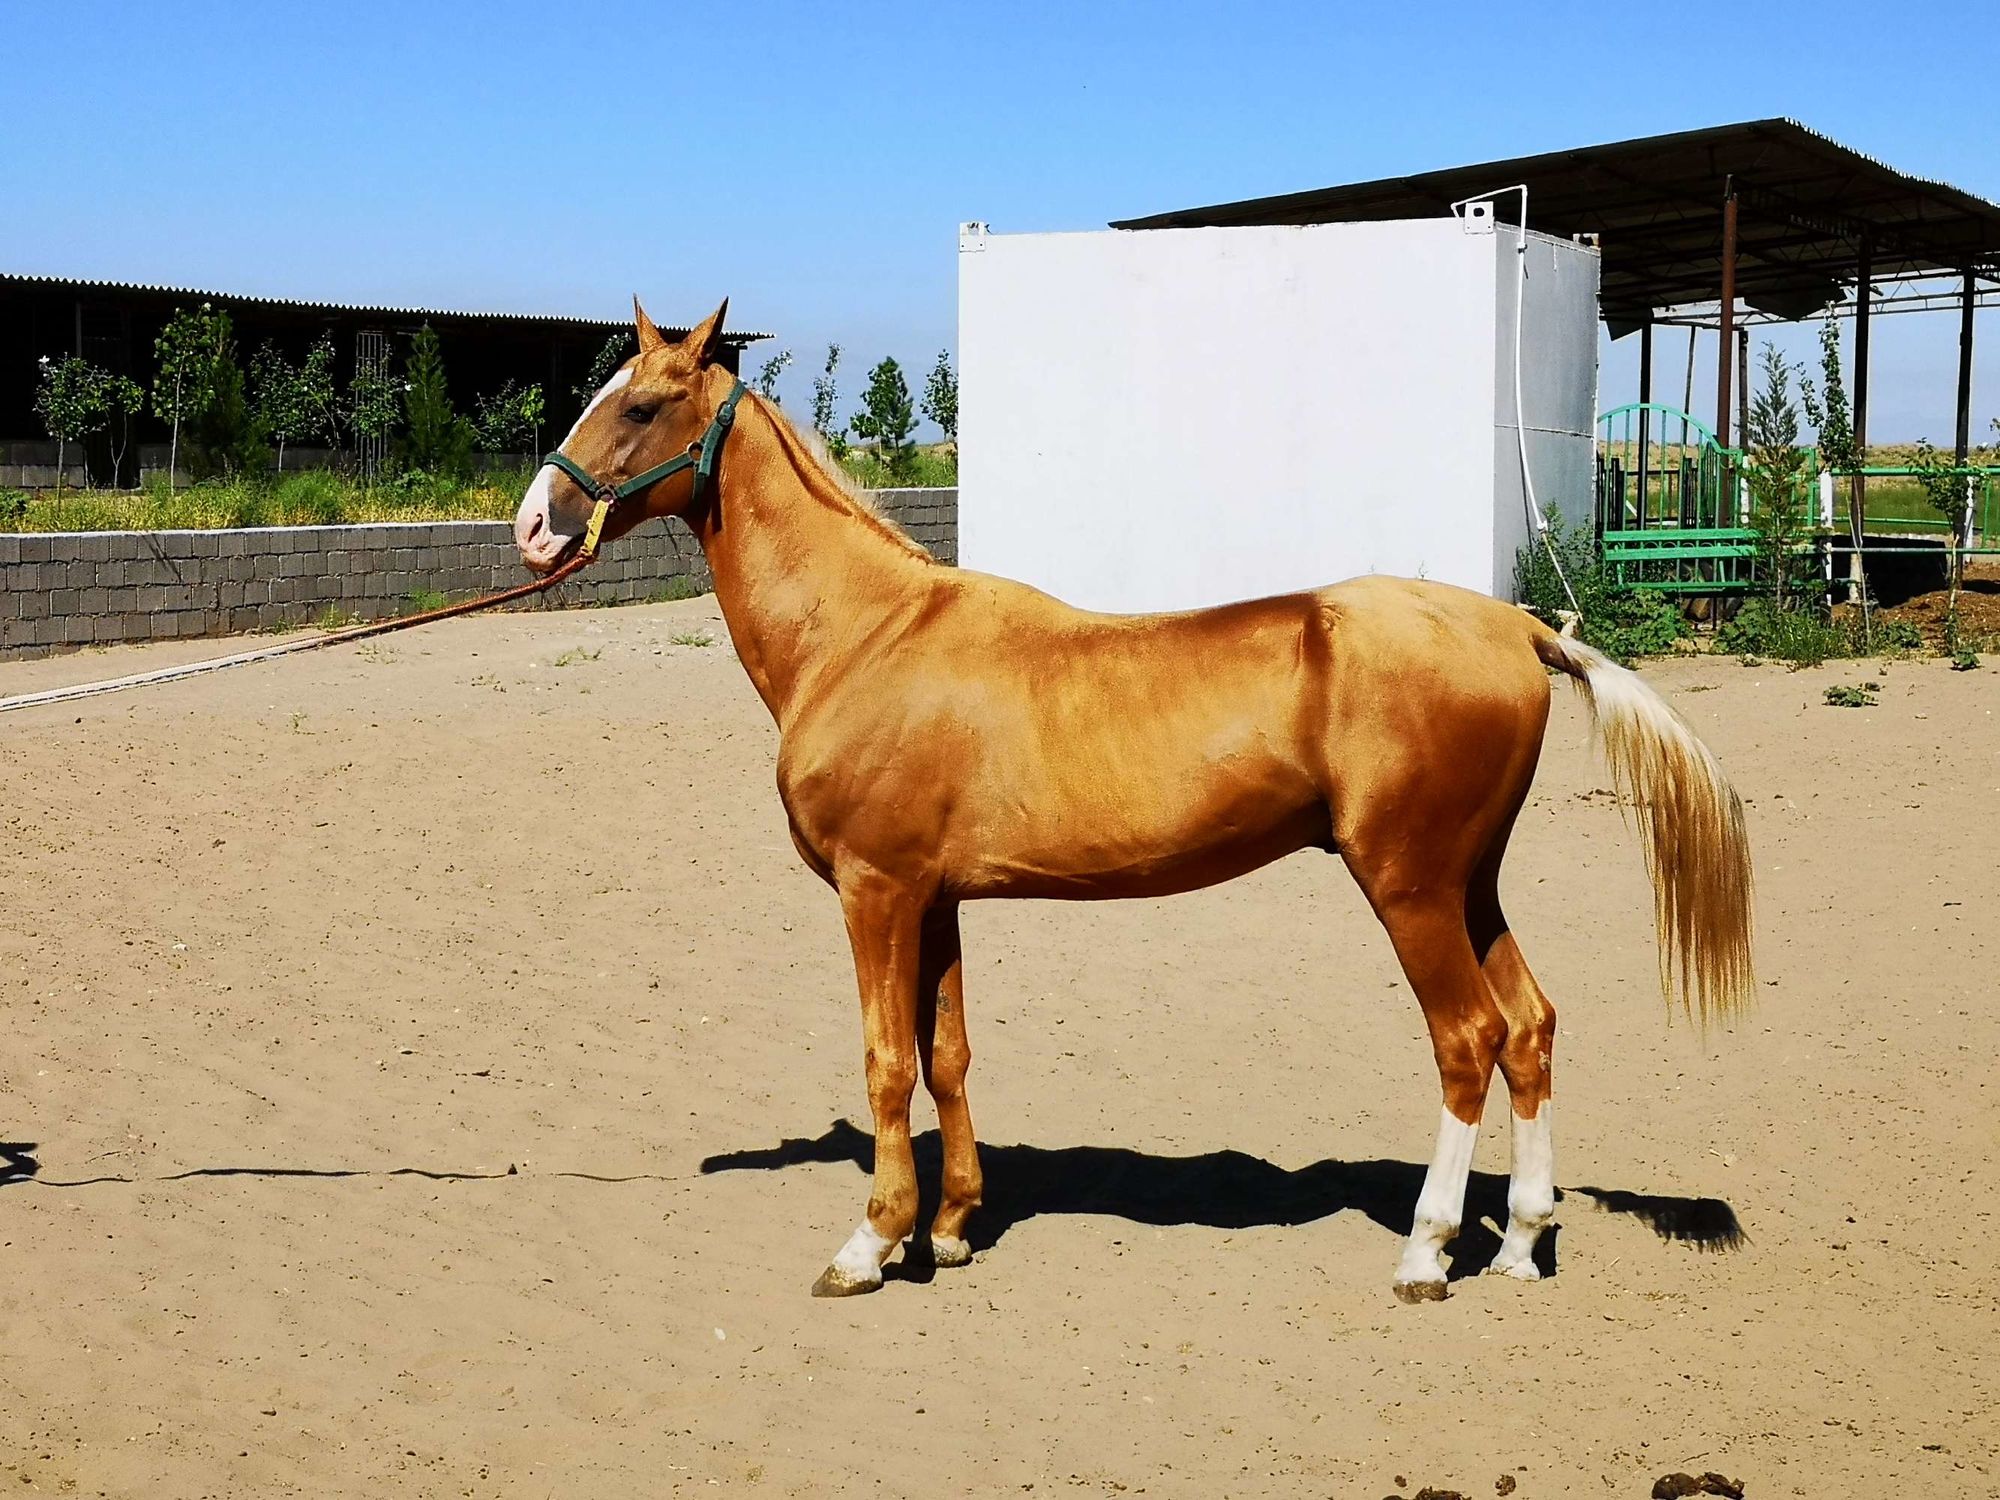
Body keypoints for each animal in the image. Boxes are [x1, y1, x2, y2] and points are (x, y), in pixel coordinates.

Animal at [516, 302, 1752, 1304]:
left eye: (639, 404)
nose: (534, 526)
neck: (866, 634)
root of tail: (1521, 628)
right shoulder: (936, 900)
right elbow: (946, 1054)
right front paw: (951, 1228)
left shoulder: (875, 894)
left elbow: (884, 1062)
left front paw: (871, 1245)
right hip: (1468, 882)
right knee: (1530, 1028)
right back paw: (1519, 1244)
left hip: (1406, 886)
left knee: (1469, 1039)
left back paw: (1425, 1253)